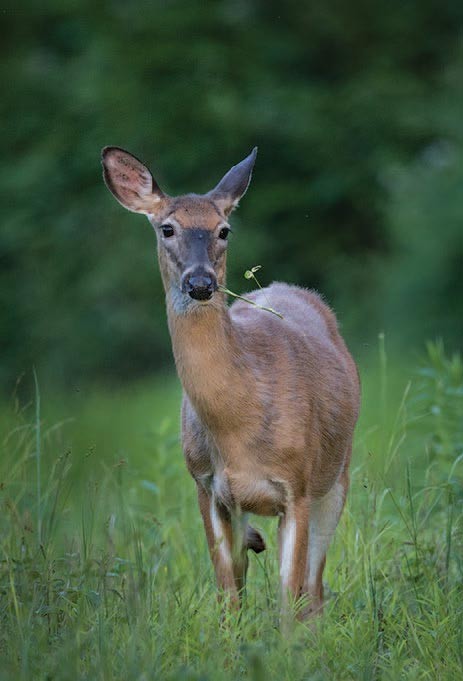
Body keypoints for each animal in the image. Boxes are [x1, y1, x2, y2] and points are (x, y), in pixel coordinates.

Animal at [101, 145, 360, 620]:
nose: (201, 282)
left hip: (337, 476)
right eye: (167, 228)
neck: (238, 426)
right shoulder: (207, 486)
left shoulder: (297, 486)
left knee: (314, 591)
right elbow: (228, 598)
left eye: (224, 230)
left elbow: (289, 598)